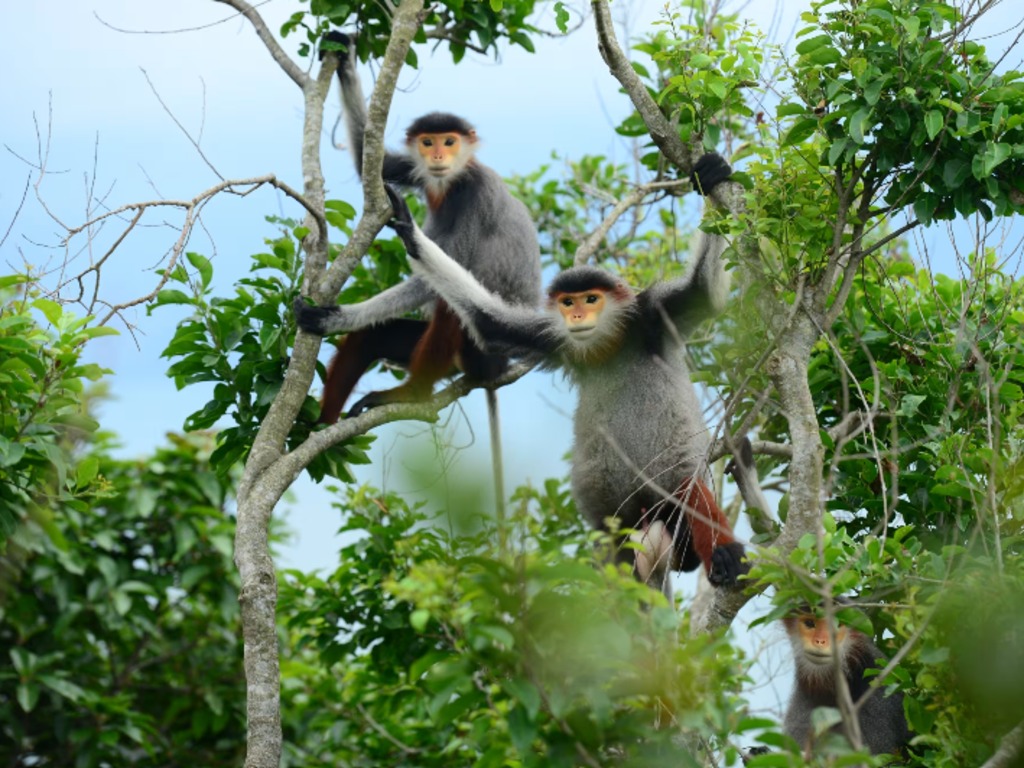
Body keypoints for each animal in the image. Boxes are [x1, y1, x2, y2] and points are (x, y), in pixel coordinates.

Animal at [293, 32, 542, 422]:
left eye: (450, 141)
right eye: (428, 142)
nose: (438, 156)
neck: (450, 183)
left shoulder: (475, 194)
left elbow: (435, 279)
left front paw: (337, 319)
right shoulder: (417, 170)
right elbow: (372, 160)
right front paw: (343, 54)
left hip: (482, 355)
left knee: (452, 309)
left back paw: (413, 394)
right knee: (372, 337)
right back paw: (315, 428)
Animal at [380, 151, 747, 596]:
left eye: (591, 299)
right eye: (569, 302)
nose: (576, 316)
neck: (609, 344)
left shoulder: (654, 317)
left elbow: (705, 294)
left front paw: (712, 173)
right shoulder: (553, 338)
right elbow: (488, 323)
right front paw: (409, 230)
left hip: (669, 489)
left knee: (691, 494)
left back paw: (725, 556)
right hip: (615, 521)